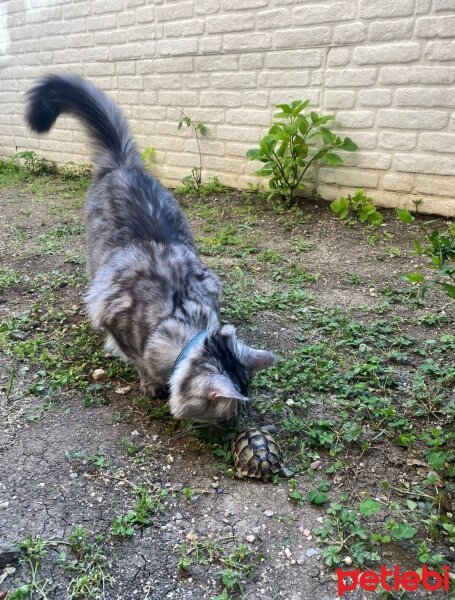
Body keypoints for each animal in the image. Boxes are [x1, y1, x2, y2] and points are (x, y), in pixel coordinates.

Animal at [26, 75, 276, 428]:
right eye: (227, 417)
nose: (234, 427)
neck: (180, 316)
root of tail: (122, 163)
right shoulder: (115, 320)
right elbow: (139, 362)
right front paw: (151, 384)